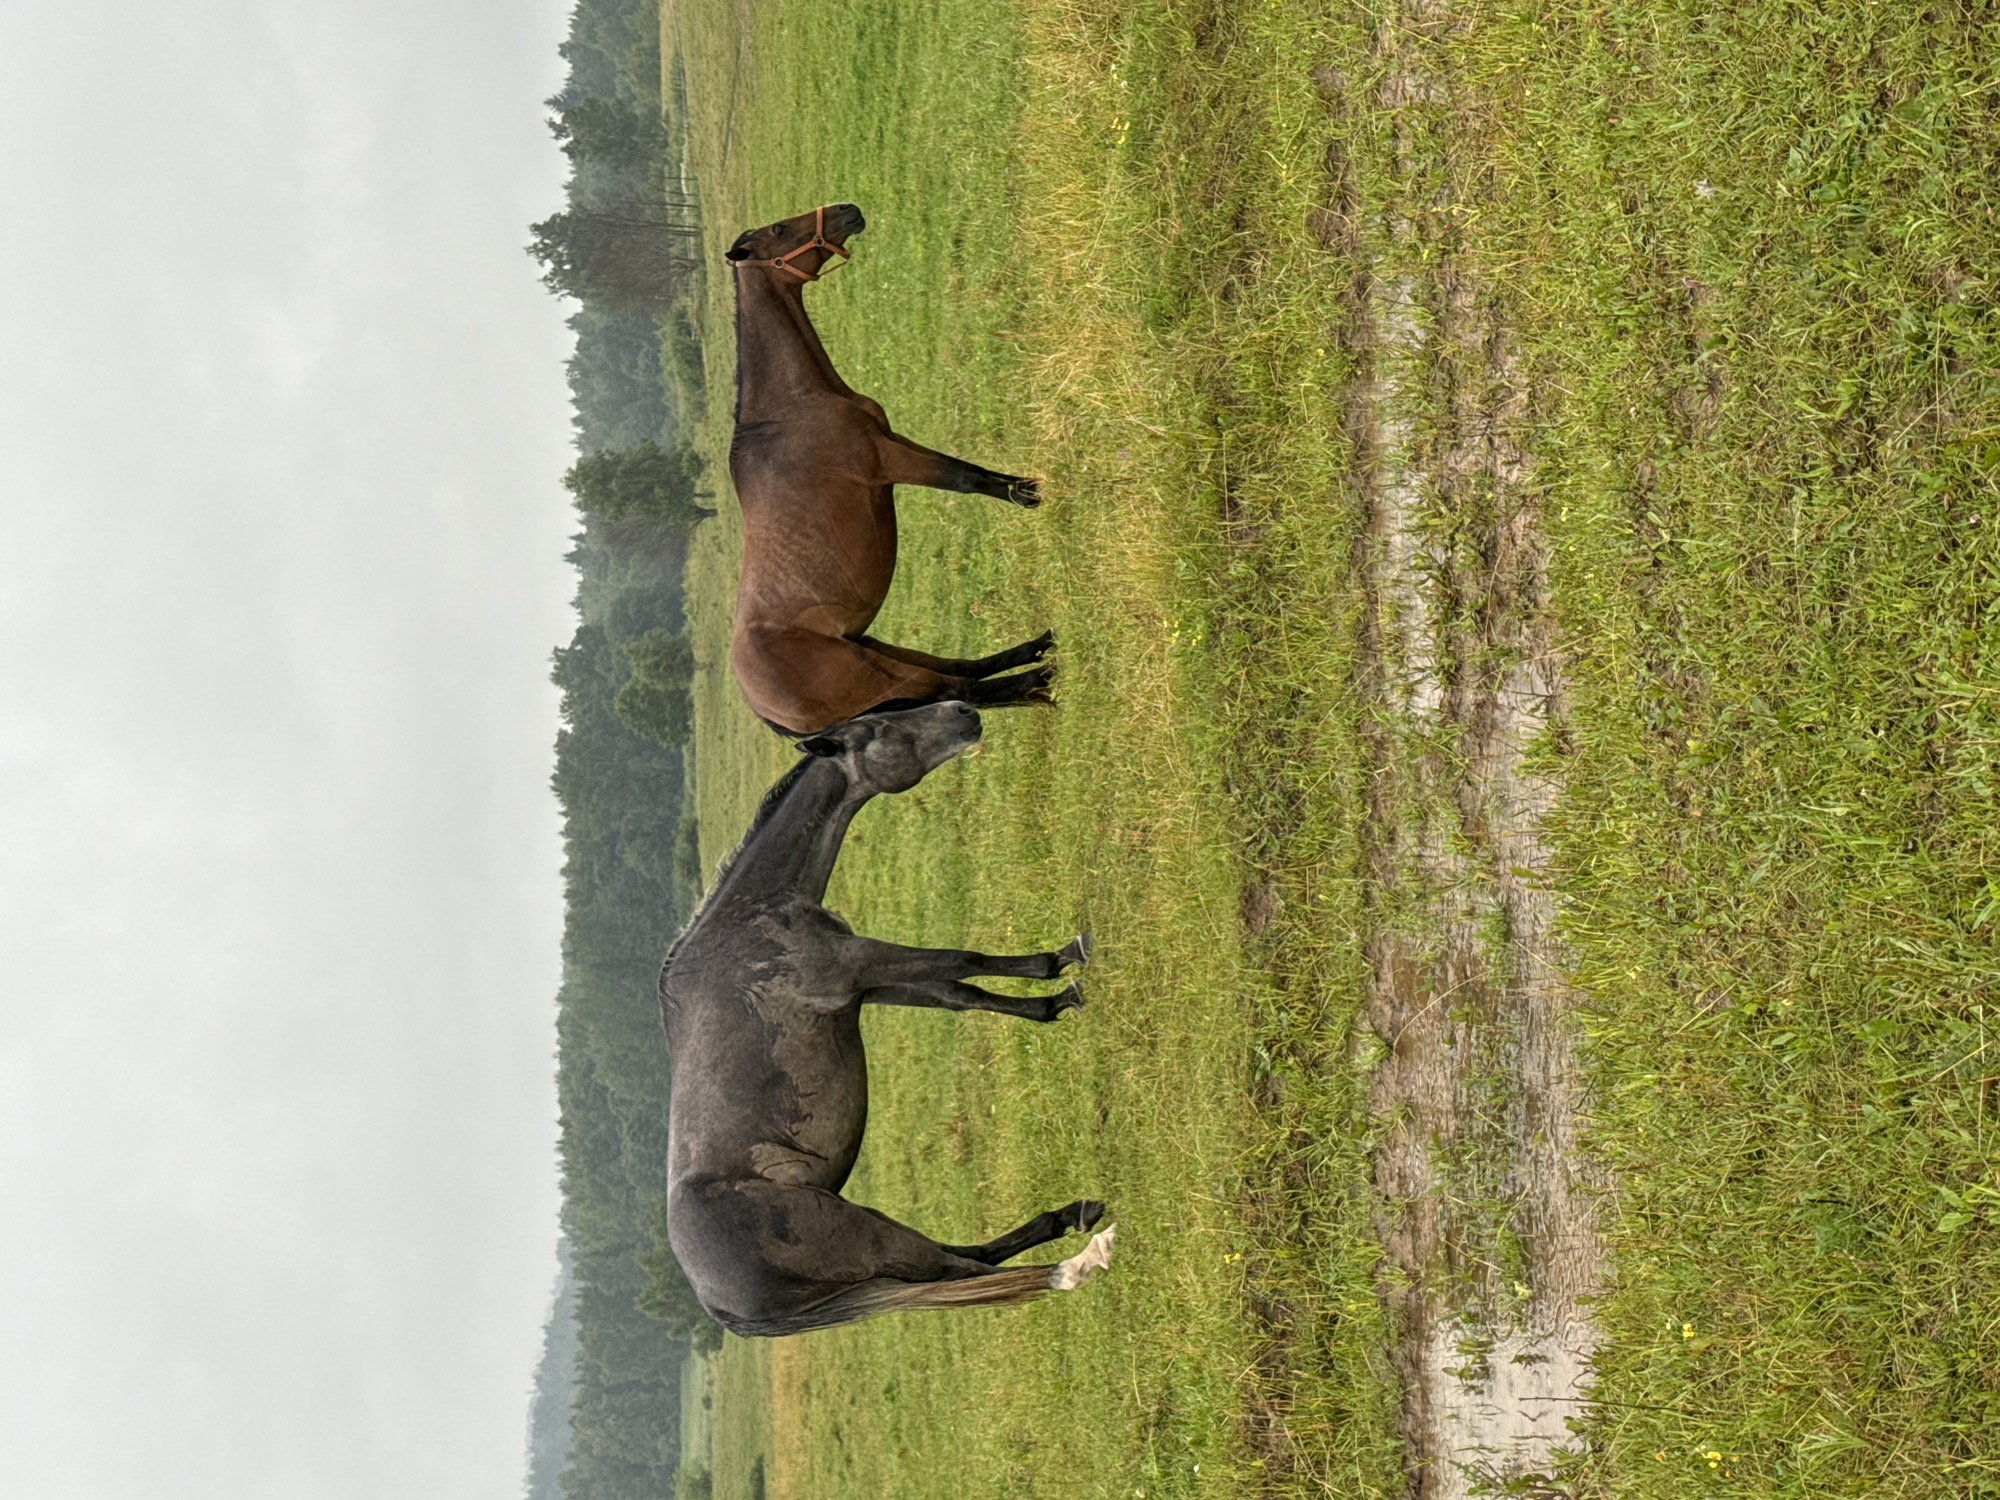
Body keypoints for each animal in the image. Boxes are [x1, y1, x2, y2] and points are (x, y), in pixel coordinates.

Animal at [659, 701, 1115, 1336]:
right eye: (877, 729)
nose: (964, 710)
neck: (748, 929)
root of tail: (726, 1309)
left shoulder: (870, 987)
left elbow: (963, 992)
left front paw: (1052, 997)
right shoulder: (860, 964)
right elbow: (963, 960)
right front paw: (1067, 963)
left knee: (968, 1260)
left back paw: (1069, 1217)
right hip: (873, 1238)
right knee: (963, 1271)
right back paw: (1079, 1257)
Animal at [724, 203, 1058, 736]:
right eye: (779, 229)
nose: (847, 210)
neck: (789, 409)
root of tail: (768, 714)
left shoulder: (891, 439)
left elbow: (971, 470)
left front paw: (1025, 486)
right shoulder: (887, 461)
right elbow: (964, 480)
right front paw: (1026, 495)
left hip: (877, 650)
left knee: (963, 670)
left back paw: (1041, 648)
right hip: (882, 675)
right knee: (962, 688)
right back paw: (1045, 671)